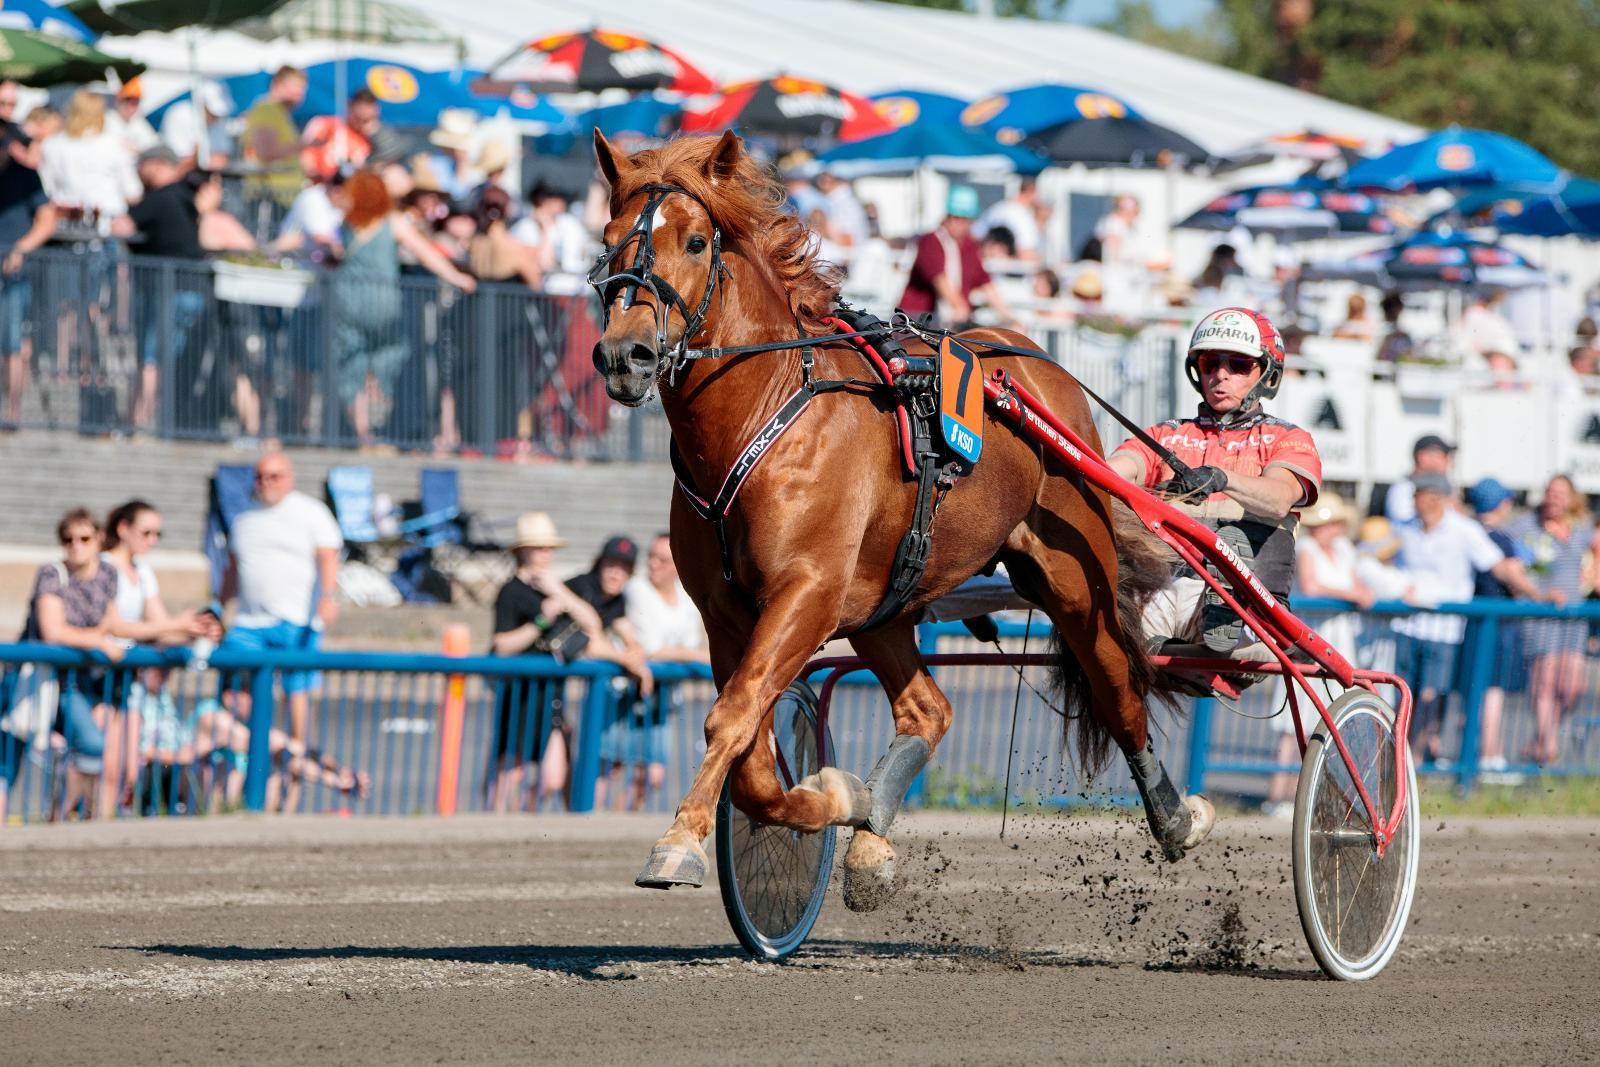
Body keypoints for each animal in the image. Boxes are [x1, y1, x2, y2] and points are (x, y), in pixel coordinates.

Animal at [592, 129, 1209, 908]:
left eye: (697, 240)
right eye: (608, 238)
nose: (625, 354)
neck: (765, 414)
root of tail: (1031, 359)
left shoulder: (808, 593)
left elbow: (732, 716)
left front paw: (678, 843)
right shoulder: (728, 614)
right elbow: (753, 756)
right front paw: (840, 798)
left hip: (1072, 575)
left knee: (1119, 688)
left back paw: (1175, 817)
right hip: (885, 603)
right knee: (927, 708)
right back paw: (871, 838)